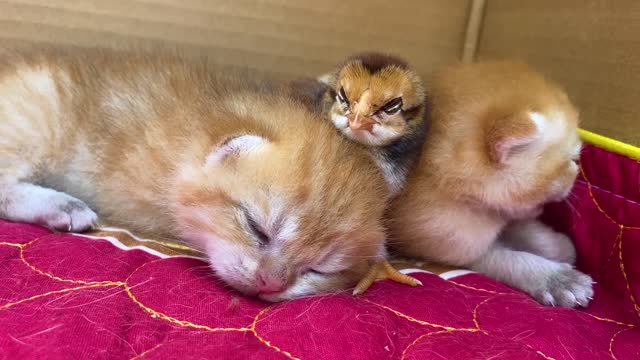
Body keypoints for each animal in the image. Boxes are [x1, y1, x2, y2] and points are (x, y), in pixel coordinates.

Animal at [390, 60, 596, 308]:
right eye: (573, 160)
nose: (575, 177)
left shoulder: (504, 212)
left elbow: (523, 228)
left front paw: (559, 245)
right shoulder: (448, 241)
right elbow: (506, 257)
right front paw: (557, 278)